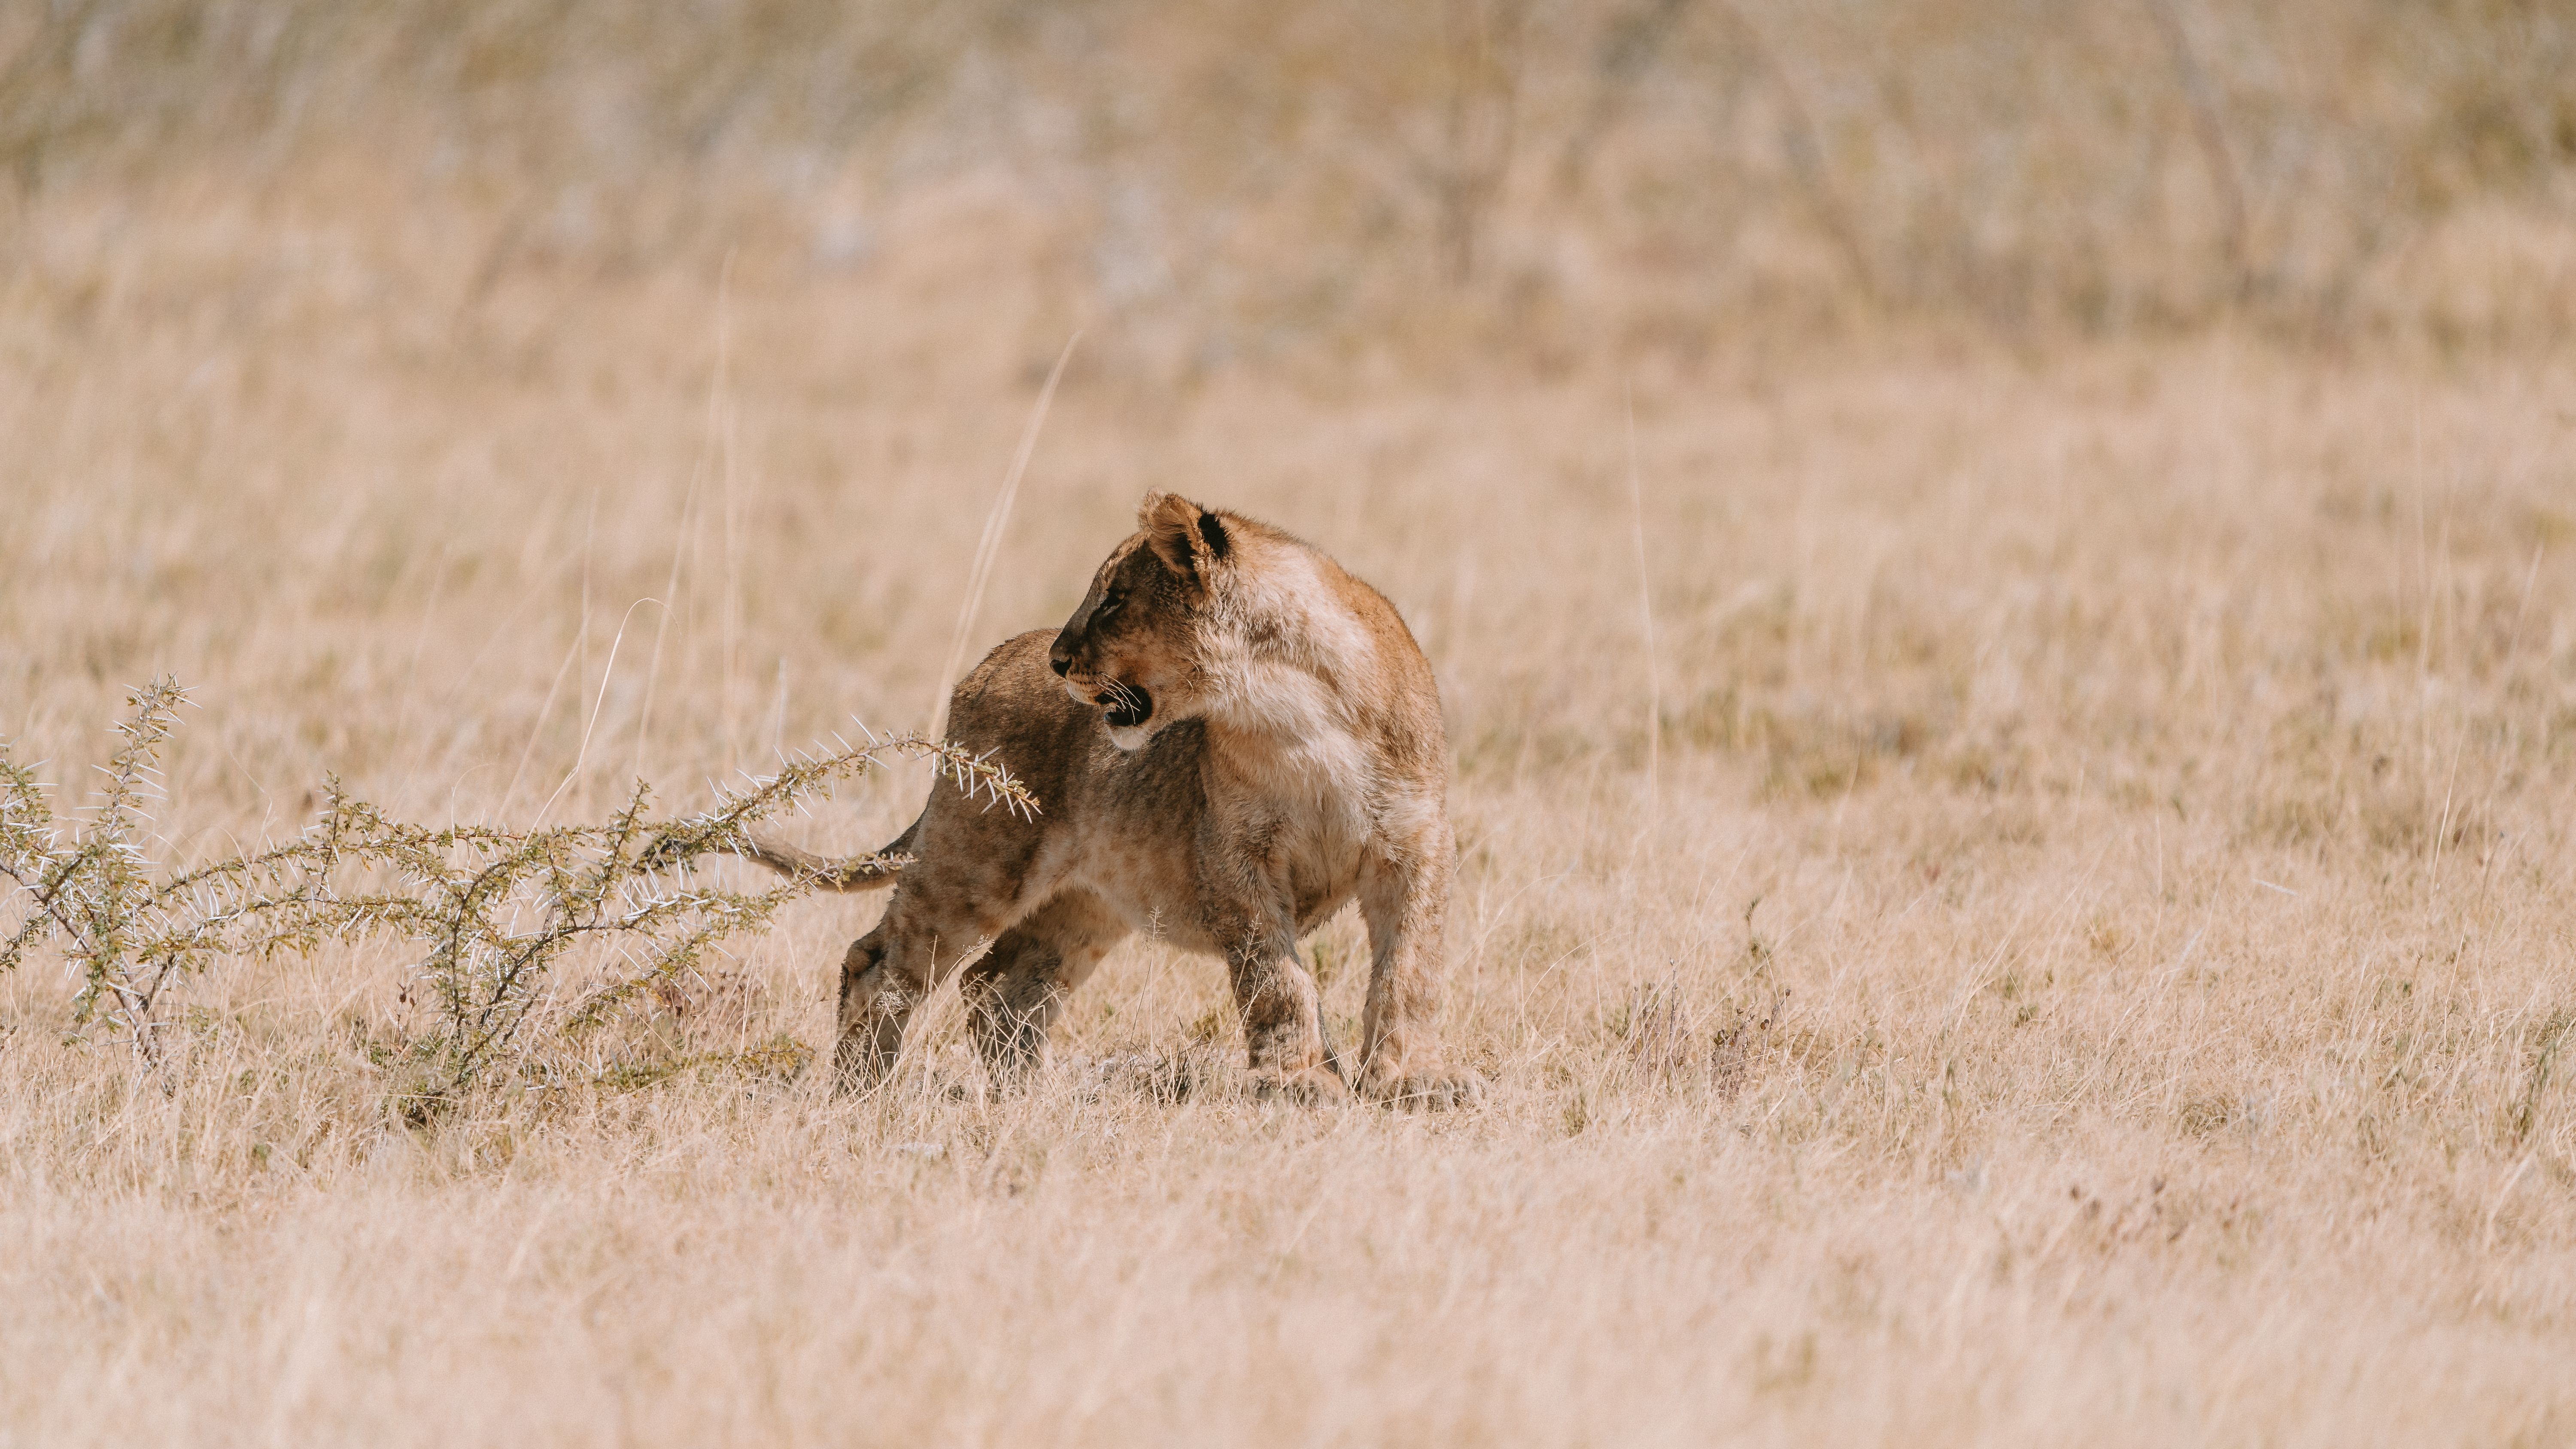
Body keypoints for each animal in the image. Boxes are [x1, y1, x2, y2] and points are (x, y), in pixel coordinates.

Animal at [746, 492, 1480, 1107]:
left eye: (1114, 598)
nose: (1059, 660)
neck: (1294, 715)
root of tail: (987, 664)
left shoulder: (1415, 844)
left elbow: (1409, 969)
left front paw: (1412, 1079)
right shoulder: (1235, 854)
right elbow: (1275, 976)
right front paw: (1300, 1080)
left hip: (1086, 900)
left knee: (1000, 984)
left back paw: (1034, 1099)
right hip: (978, 861)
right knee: (879, 961)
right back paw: (860, 1089)